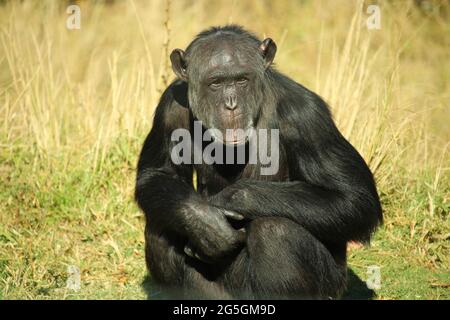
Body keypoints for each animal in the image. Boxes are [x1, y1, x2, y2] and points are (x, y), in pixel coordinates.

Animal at [135, 25, 382, 300]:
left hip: (329, 286)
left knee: (275, 231)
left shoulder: (307, 116)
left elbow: (354, 198)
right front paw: (204, 221)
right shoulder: (169, 109)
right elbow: (157, 174)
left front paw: (232, 199)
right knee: (160, 228)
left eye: (241, 80)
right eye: (216, 83)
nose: (231, 104)